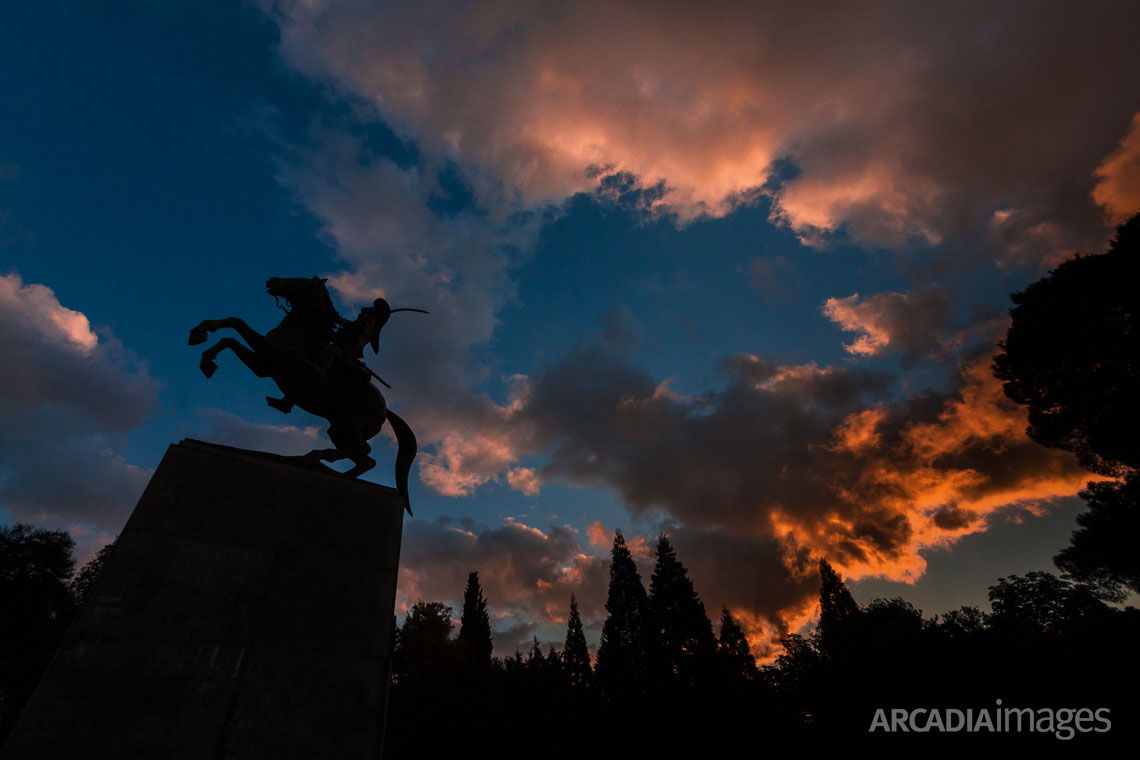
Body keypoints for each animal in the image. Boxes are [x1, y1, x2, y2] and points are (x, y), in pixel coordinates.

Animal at [186, 276, 419, 515]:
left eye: (303, 281)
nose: (272, 280)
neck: (299, 333)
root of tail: (385, 409)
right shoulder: (262, 364)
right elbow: (231, 332)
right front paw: (201, 339)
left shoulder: (268, 358)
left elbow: (235, 328)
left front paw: (204, 349)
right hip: (338, 428)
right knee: (364, 458)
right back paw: (332, 471)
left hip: (349, 419)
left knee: (360, 450)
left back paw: (314, 458)